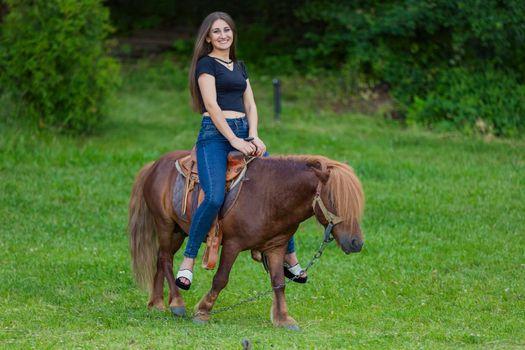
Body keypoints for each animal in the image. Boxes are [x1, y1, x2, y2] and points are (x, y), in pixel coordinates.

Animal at [128, 150, 364, 328]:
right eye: (333, 199)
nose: (357, 243)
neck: (269, 196)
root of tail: (155, 164)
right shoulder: (232, 244)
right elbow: (221, 279)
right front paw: (203, 311)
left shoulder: (276, 246)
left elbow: (278, 282)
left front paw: (283, 318)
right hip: (165, 225)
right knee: (166, 259)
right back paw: (177, 302)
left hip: (179, 231)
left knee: (161, 258)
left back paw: (157, 303)